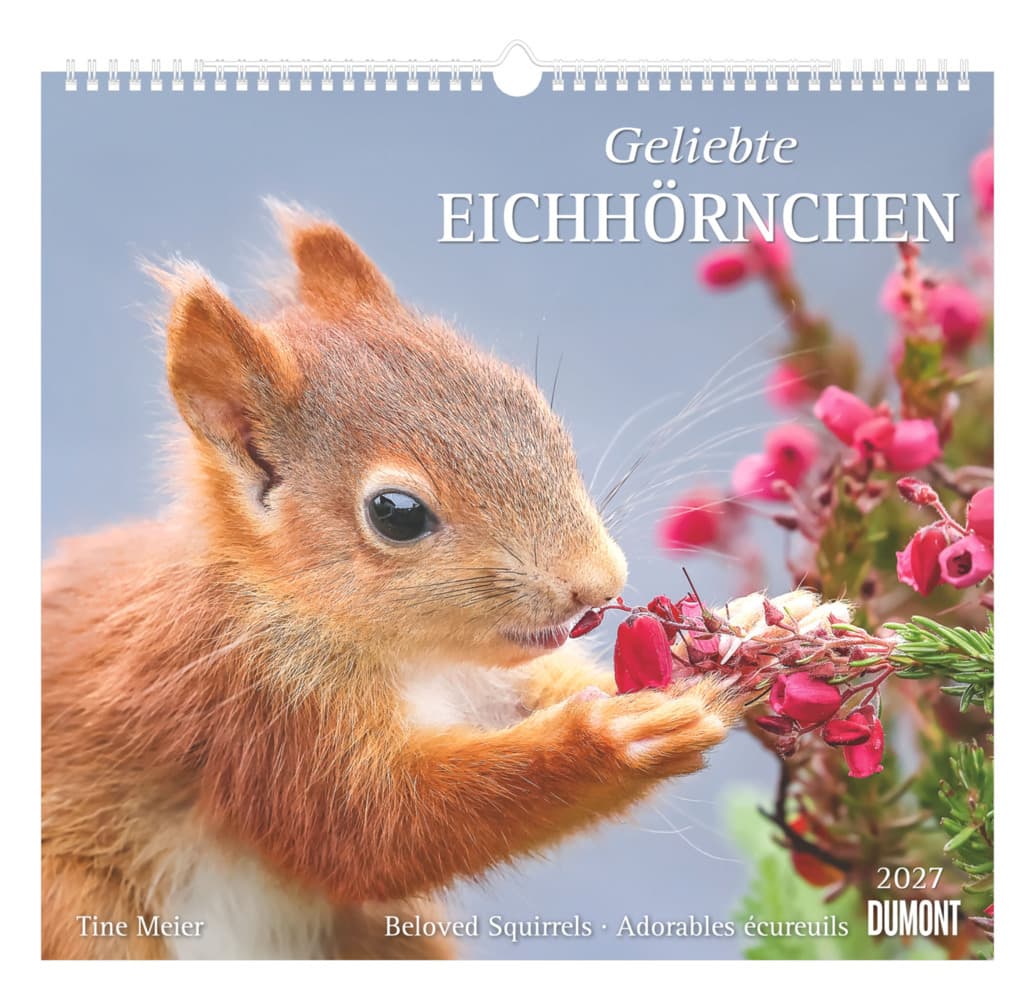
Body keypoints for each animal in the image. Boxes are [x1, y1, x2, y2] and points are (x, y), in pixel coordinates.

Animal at [42, 202, 759, 960]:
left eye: (534, 406)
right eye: (395, 514)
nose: (595, 584)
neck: (415, 658)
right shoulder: (252, 707)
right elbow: (373, 832)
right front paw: (619, 734)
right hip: (82, 911)